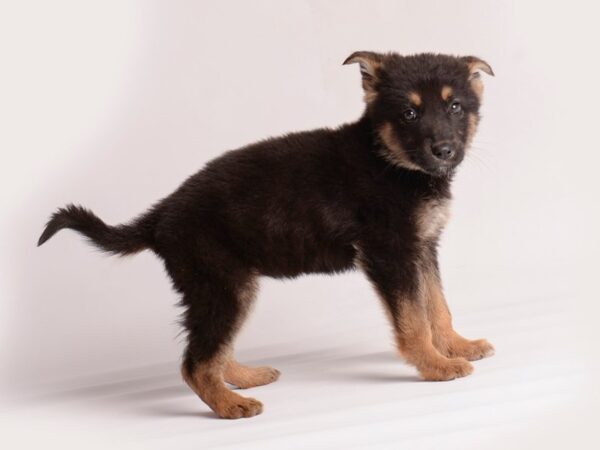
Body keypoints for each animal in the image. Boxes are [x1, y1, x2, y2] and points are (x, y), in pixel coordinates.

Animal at [38, 51, 496, 418]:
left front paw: (457, 345)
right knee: (195, 361)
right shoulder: (390, 254)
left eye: (455, 106)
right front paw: (436, 367)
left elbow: (437, 306)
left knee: (213, 350)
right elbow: (414, 320)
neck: (391, 161)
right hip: (220, 285)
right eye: (409, 114)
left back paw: (242, 377)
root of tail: (161, 214)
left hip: (231, 286)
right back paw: (229, 405)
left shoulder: (422, 249)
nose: (444, 151)